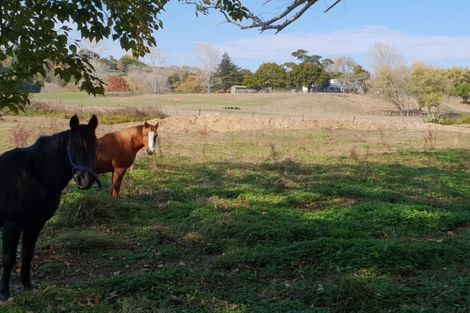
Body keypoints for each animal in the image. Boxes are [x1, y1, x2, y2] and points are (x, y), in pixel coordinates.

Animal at [0, 113, 98, 298]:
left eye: (96, 145)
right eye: (72, 145)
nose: (85, 179)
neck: (33, 174)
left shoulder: (35, 222)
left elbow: (27, 254)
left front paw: (27, 286)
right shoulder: (12, 224)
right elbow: (9, 258)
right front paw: (4, 293)